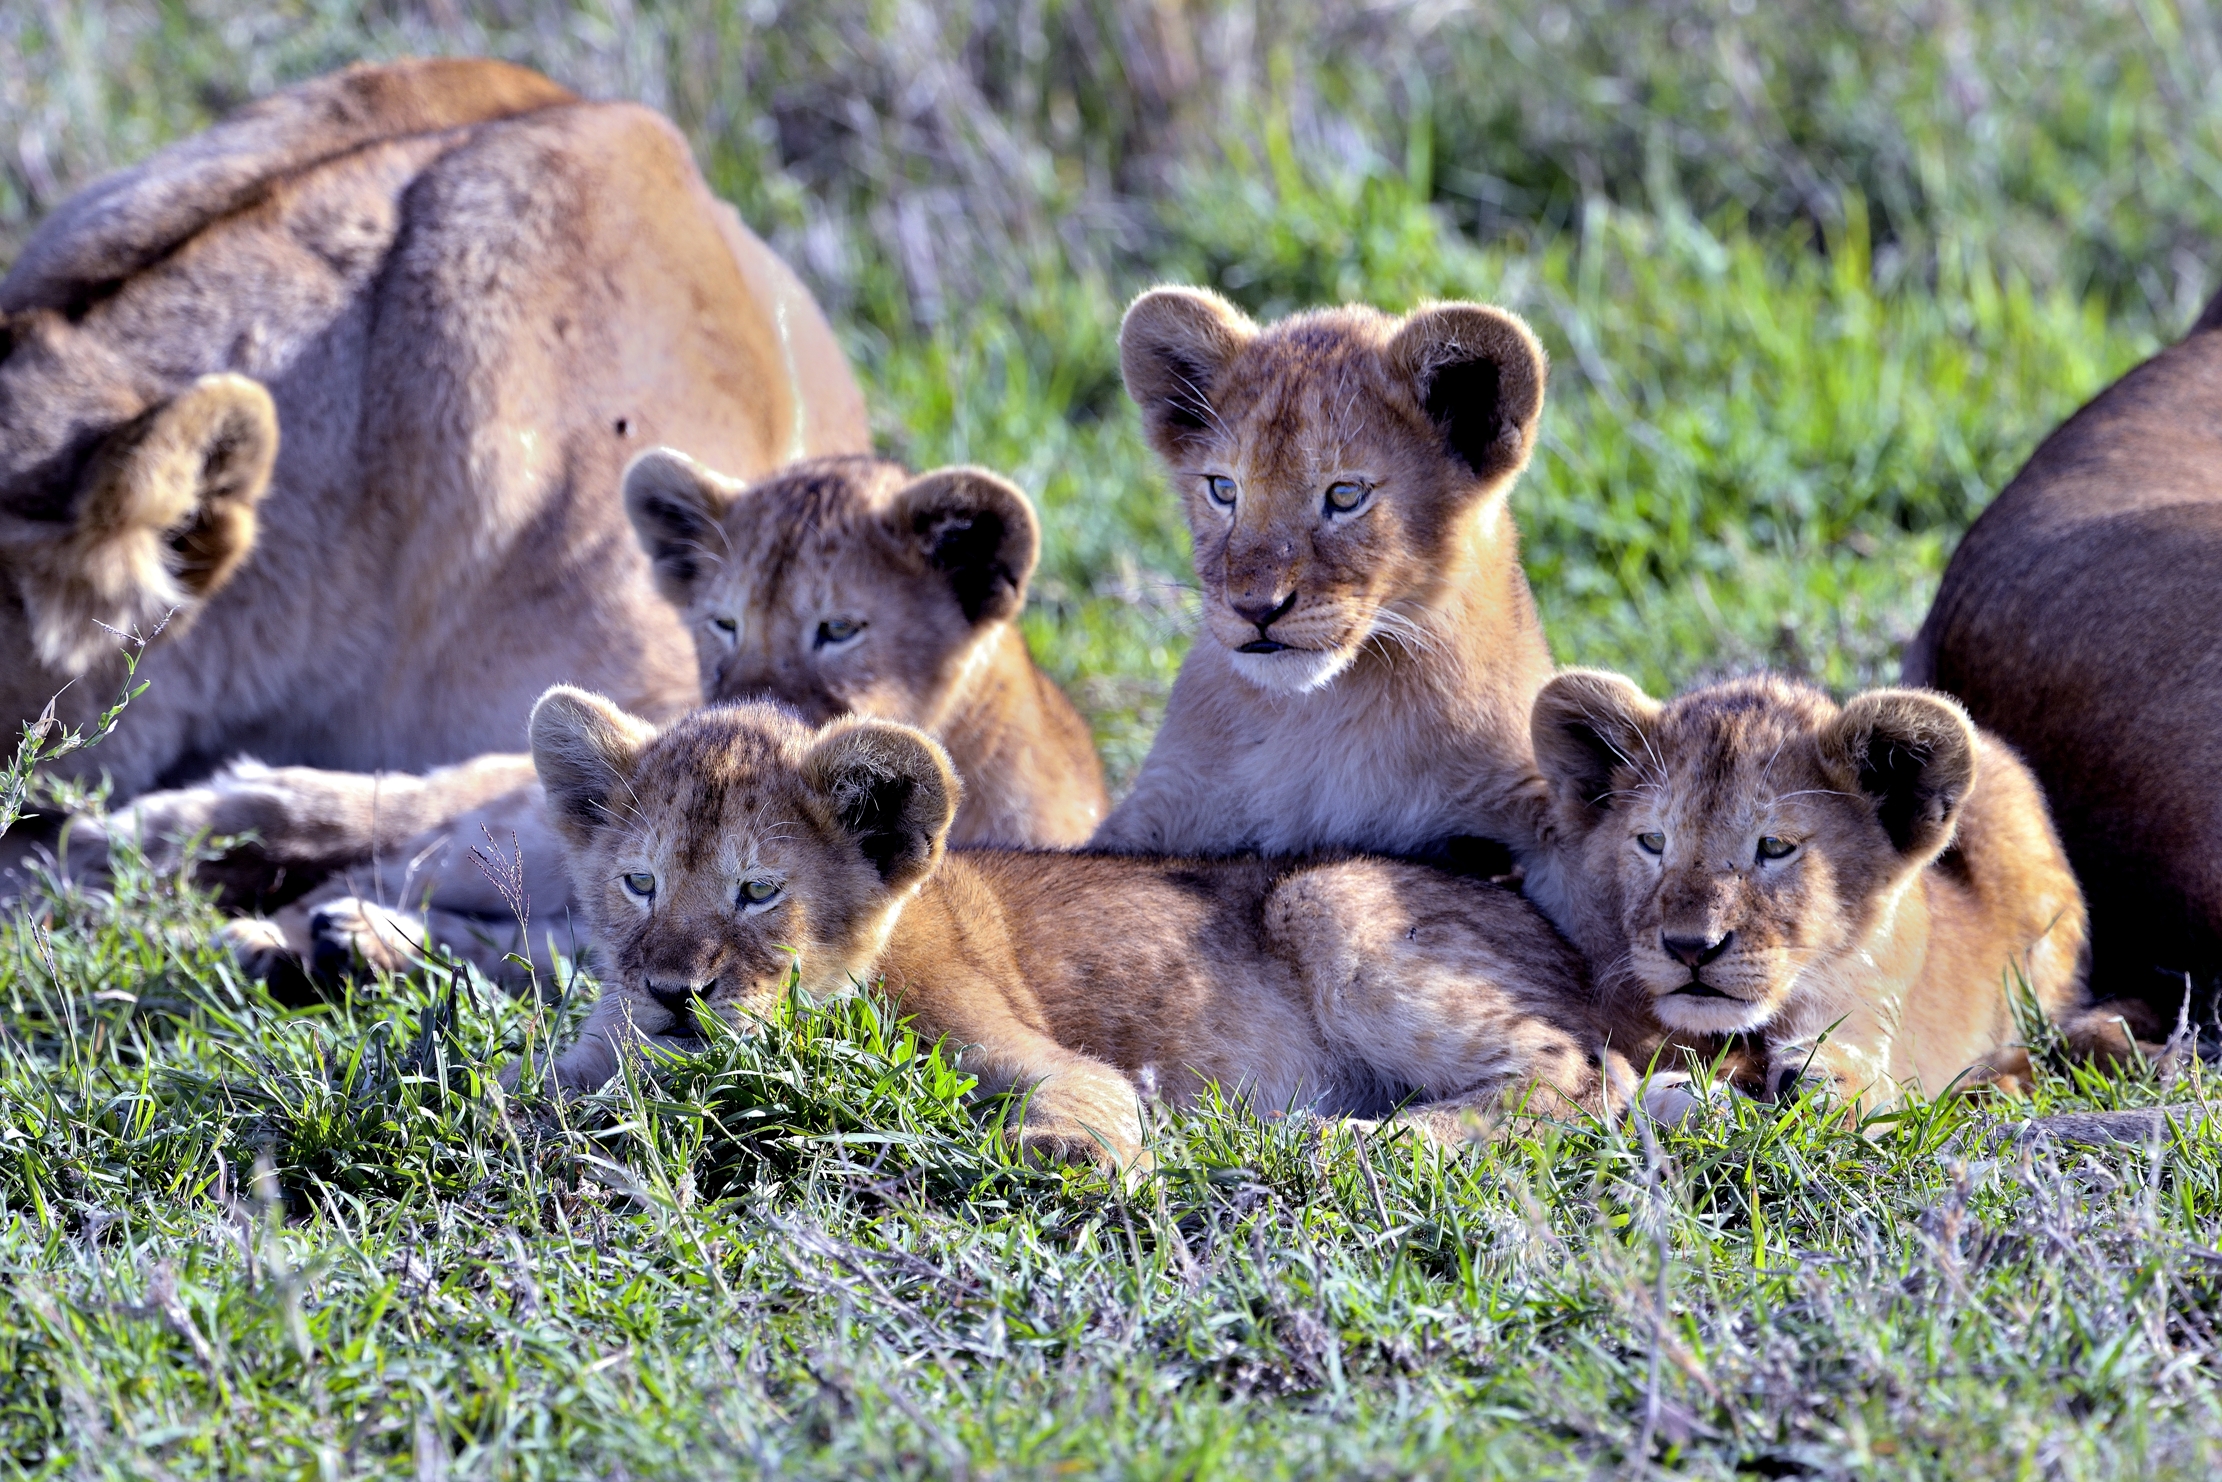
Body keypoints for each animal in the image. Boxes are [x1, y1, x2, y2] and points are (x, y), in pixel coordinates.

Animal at [107, 453, 1109, 982]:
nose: (738, 716)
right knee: (371, 856)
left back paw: (328, 946)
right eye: (721, 621)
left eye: (839, 629)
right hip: (504, 838)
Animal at [515, 687, 1663, 1168]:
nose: (673, 994)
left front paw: (1063, 1152)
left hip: (1324, 897)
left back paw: (1361, 1138)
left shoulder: (1053, 1060)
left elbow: (1086, 1102)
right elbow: (527, 1100)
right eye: (638, 882)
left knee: (1582, 1071)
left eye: (757, 892)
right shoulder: (585, 1065)